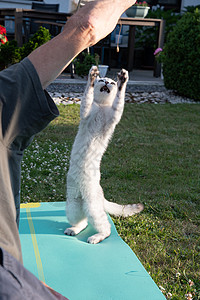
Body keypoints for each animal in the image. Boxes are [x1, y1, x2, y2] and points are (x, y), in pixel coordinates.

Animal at [64, 66, 144, 244]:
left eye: (112, 83)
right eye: (102, 80)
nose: (107, 82)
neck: (100, 106)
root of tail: (101, 195)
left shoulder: (114, 115)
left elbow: (119, 99)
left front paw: (123, 80)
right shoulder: (85, 111)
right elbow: (87, 95)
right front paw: (92, 75)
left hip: (92, 207)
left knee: (105, 228)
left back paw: (96, 237)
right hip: (73, 206)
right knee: (82, 222)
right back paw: (73, 229)